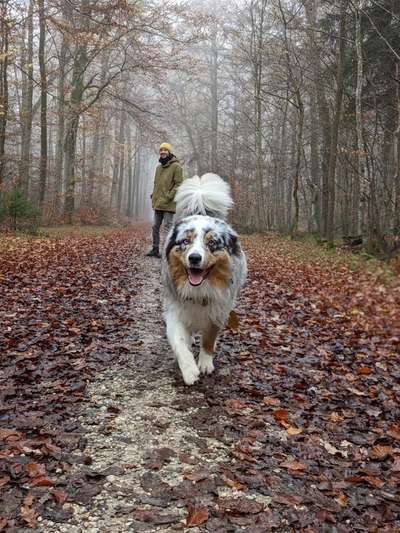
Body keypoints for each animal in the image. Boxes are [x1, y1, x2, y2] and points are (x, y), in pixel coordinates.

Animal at [162, 172, 247, 384]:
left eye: (212, 243)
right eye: (185, 241)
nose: (194, 258)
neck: (199, 289)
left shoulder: (219, 310)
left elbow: (209, 338)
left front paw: (205, 362)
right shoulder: (175, 308)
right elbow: (179, 341)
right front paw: (189, 369)